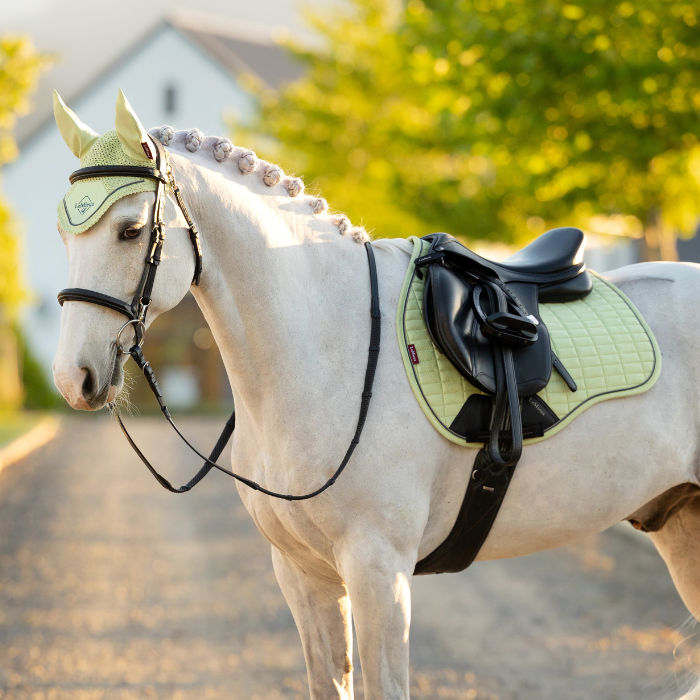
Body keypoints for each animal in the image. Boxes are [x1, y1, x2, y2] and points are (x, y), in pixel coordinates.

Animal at [51, 95, 700, 699]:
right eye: (63, 232)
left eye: (130, 230)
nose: (71, 378)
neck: (329, 346)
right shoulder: (302, 574)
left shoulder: (378, 571)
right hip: (680, 525)